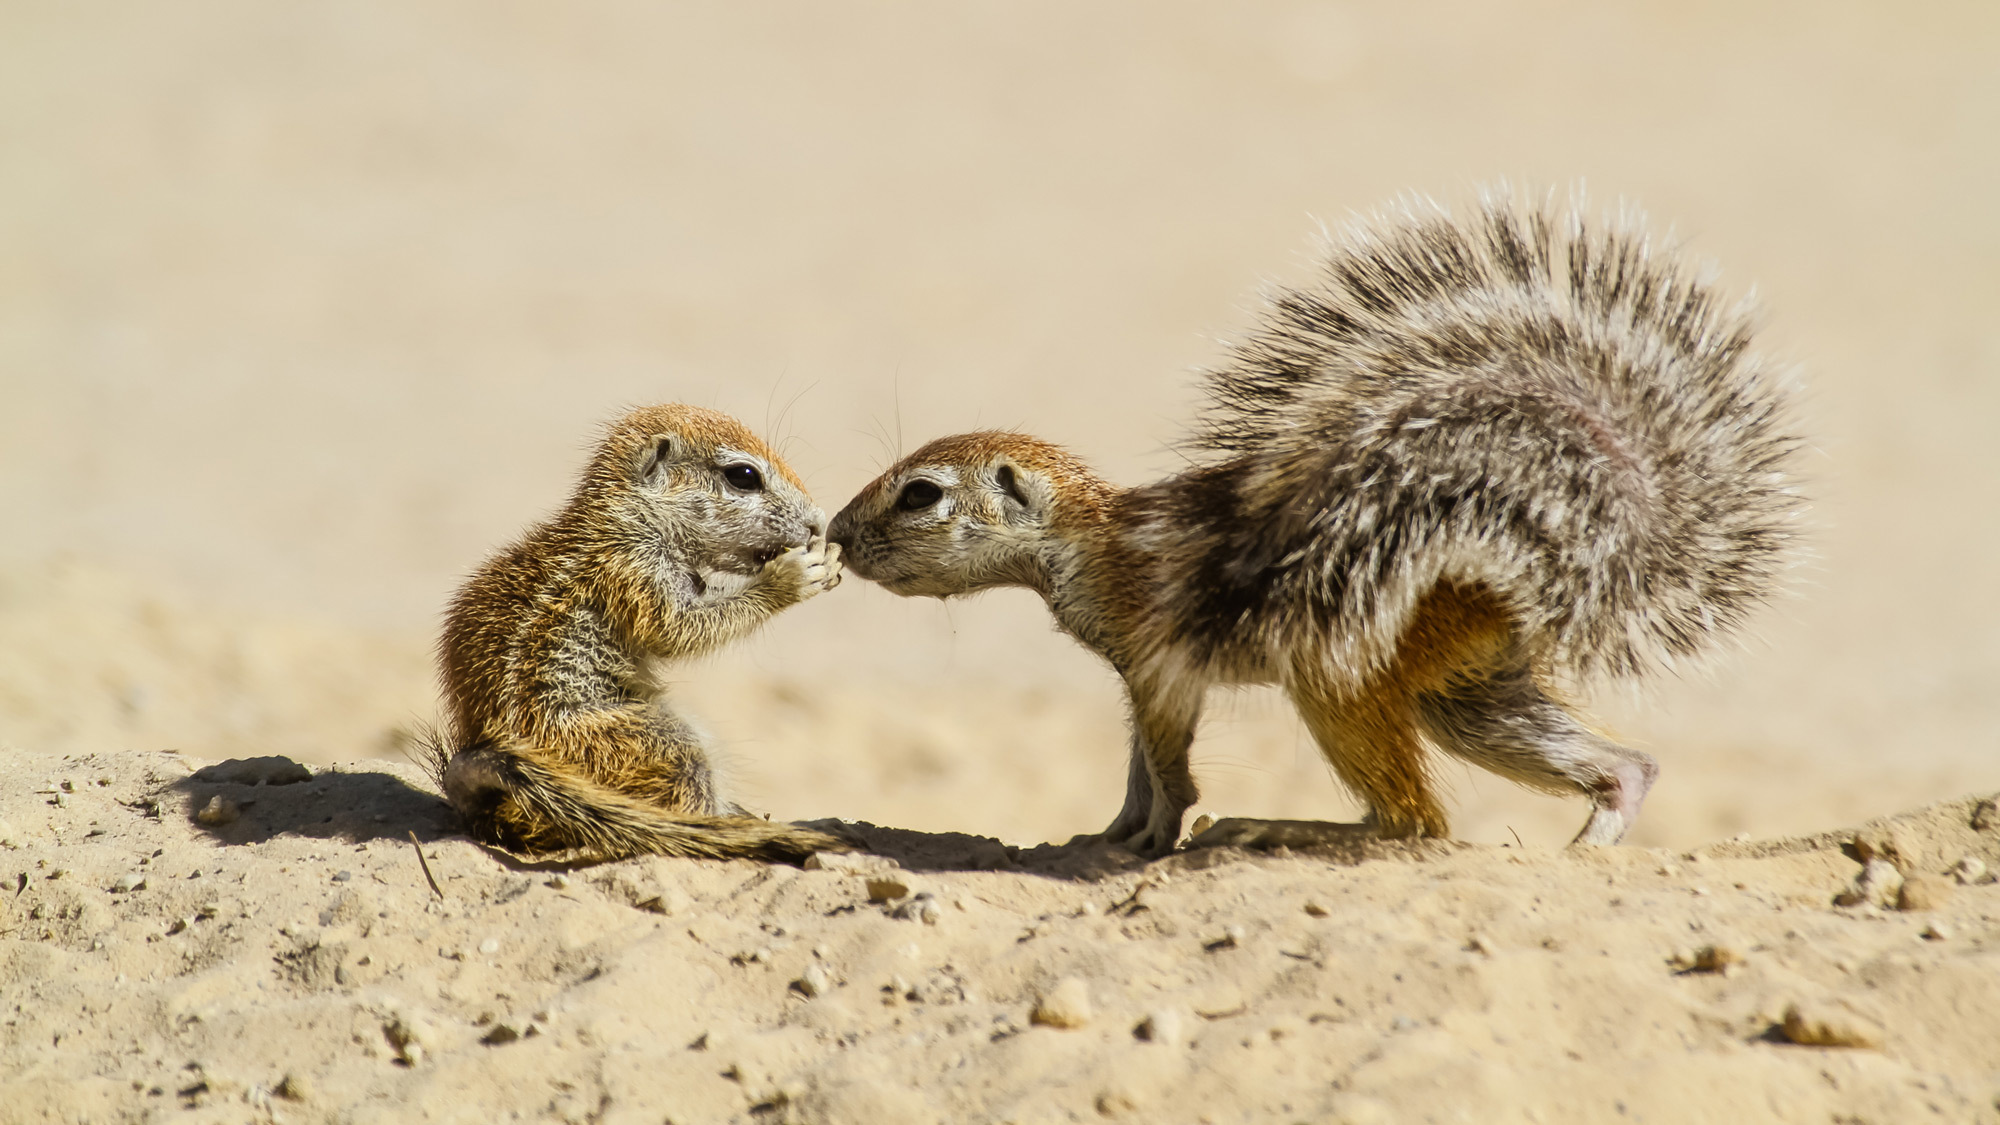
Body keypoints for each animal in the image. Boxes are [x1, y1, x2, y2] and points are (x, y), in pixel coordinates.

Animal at [426, 400, 848, 856]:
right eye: (744, 476)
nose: (817, 522)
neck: (630, 516)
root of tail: (497, 808)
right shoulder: (633, 570)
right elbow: (678, 629)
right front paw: (791, 577)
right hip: (658, 746)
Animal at [824, 195, 1800, 856]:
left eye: (919, 495)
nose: (834, 534)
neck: (1087, 542)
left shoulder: (1159, 664)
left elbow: (1167, 765)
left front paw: (1150, 838)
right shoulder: (1142, 674)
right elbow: (1138, 762)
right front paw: (1109, 830)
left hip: (1336, 679)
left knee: (1414, 823)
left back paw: (1269, 826)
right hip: (1465, 688)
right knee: (1617, 767)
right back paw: (1592, 838)